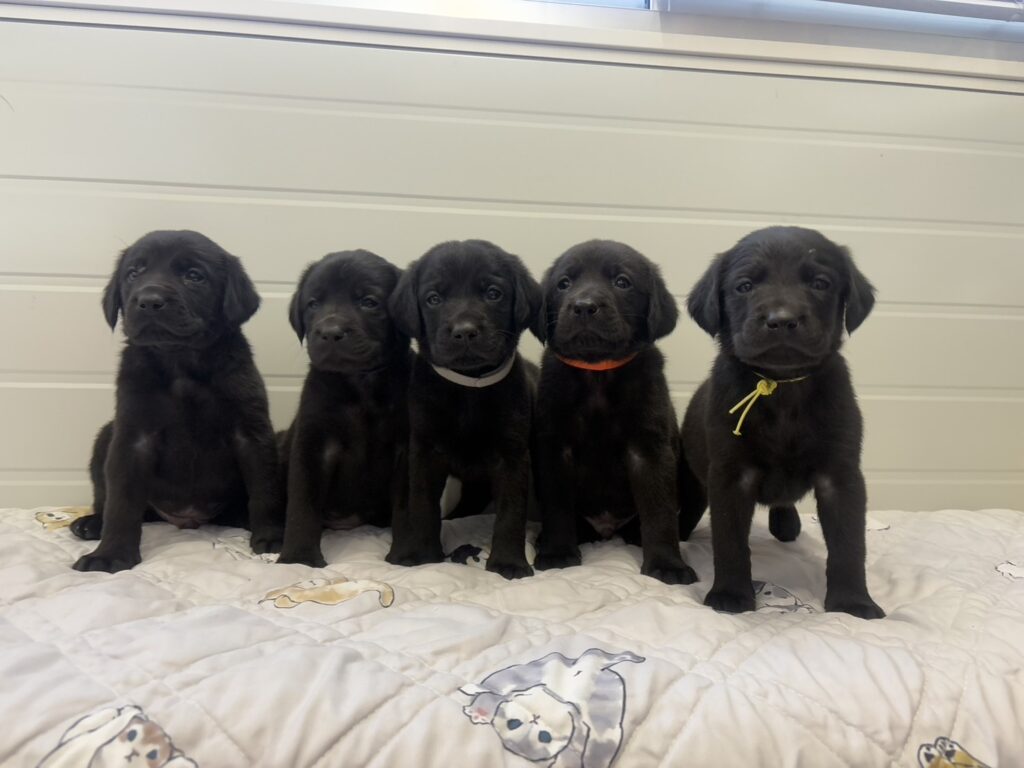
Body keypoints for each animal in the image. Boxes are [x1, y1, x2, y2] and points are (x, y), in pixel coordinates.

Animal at [70, 230, 282, 572]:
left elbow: (265, 489)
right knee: (112, 500)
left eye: (194, 276)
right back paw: (92, 523)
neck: (180, 362)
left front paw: (272, 538)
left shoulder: (251, 433)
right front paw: (111, 553)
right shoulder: (132, 437)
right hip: (106, 436)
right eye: (134, 273)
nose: (148, 301)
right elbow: (121, 502)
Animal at [276, 250, 411, 567]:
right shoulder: (312, 445)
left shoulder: (406, 447)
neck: (360, 385)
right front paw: (298, 559)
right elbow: (302, 505)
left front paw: (405, 555)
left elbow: (407, 508)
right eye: (313, 304)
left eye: (369, 302)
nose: (329, 332)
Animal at [386, 240, 541, 579]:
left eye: (493, 293)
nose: (465, 331)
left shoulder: (512, 455)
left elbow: (511, 512)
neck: (469, 387)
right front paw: (423, 555)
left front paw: (509, 562)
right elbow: (422, 505)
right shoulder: (424, 451)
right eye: (433, 298)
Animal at [532, 240, 697, 585]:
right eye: (563, 284)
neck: (598, 373)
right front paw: (557, 553)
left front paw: (667, 564)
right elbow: (557, 505)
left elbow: (659, 512)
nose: (584, 306)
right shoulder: (555, 448)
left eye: (622, 282)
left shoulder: (648, 450)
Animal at [680, 225, 884, 618]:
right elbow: (729, 541)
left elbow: (850, 545)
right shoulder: (731, 475)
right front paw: (731, 594)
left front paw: (852, 602)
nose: (782, 319)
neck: (782, 386)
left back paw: (786, 523)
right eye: (744, 286)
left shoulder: (841, 476)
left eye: (820, 283)